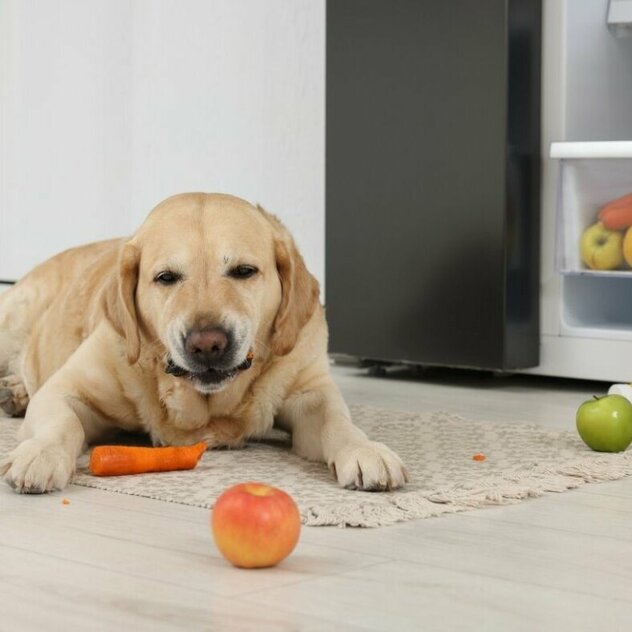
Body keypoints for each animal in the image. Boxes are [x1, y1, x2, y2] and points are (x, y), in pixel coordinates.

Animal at [0, 193, 408, 494]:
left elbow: (337, 422)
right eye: (166, 277)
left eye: (244, 271)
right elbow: (63, 422)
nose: (207, 344)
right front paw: (41, 455)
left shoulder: (311, 392)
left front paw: (365, 450)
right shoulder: (65, 388)